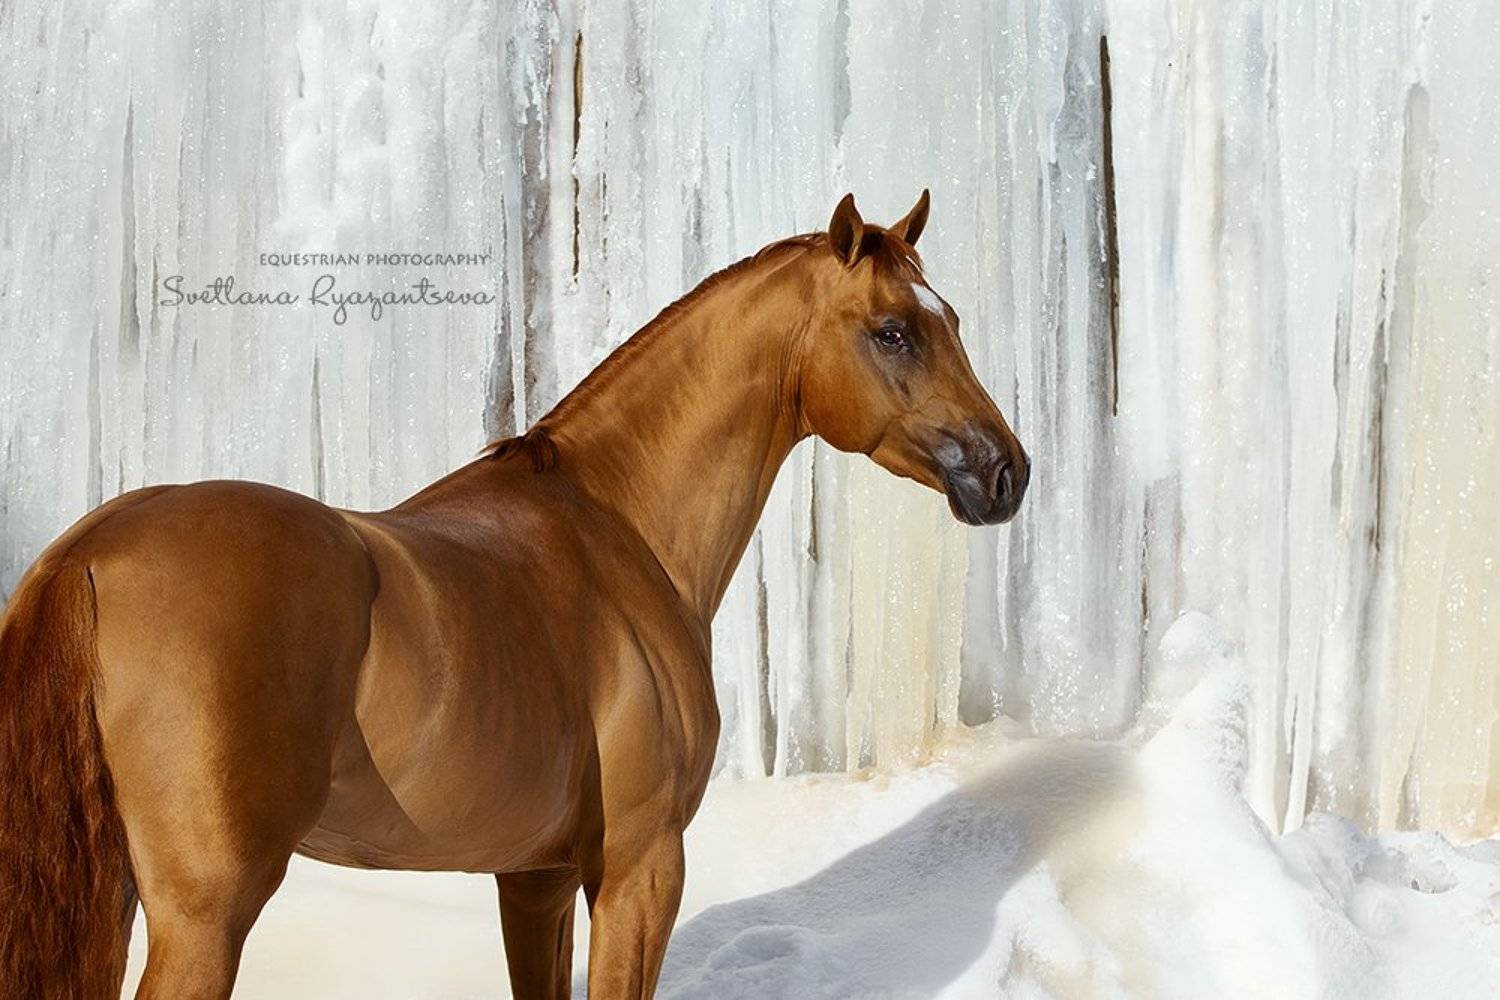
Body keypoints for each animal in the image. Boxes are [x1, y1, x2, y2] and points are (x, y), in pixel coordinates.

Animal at [0, 190, 1028, 1000]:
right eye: (893, 331)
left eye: (954, 320)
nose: (1006, 472)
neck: (616, 525)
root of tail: (88, 554)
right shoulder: (639, 869)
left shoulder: (534, 879)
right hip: (205, 915)